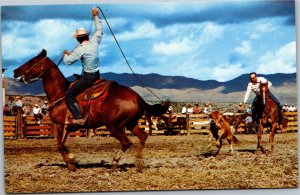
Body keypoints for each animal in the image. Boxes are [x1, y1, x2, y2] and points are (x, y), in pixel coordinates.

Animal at [13, 49, 169, 171]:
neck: (60, 93)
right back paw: (138, 162)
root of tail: (136, 96)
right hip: (130, 123)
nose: (15, 71)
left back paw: (114, 163)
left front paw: (71, 164)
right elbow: (62, 144)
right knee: (143, 136)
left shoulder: (59, 124)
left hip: (114, 126)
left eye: (32, 61)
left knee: (127, 142)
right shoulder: (66, 127)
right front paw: (72, 160)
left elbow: (59, 145)